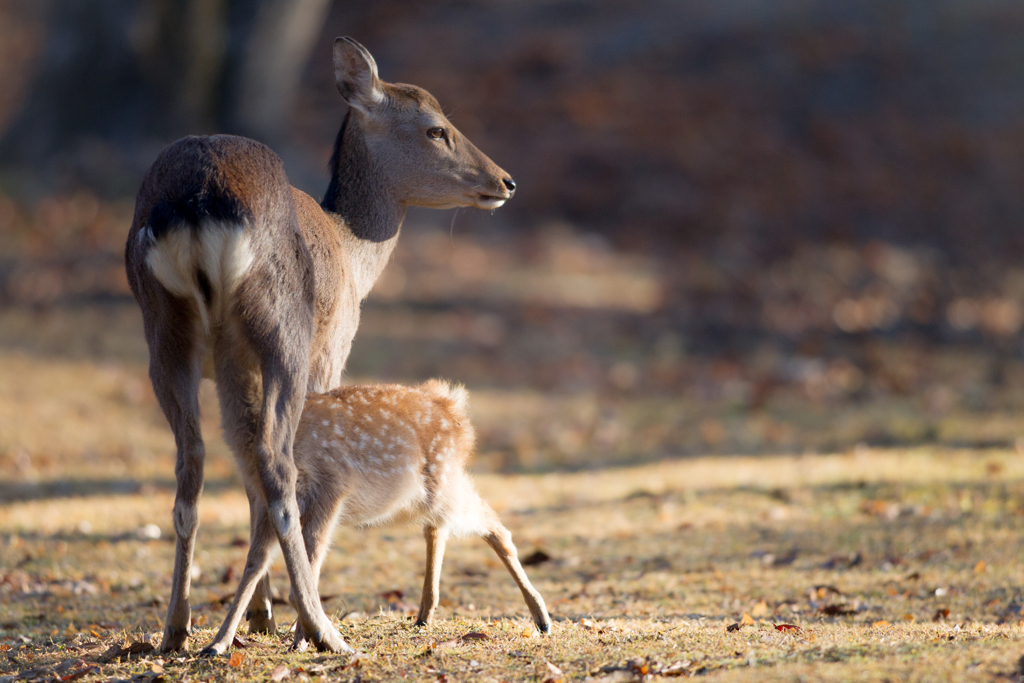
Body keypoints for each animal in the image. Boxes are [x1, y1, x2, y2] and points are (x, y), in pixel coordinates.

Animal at [123, 34, 516, 655]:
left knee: (193, 470)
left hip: (164, 332)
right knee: (279, 470)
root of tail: (199, 201)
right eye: (436, 128)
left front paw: (258, 617)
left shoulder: (233, 367)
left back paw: (176, 628)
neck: (355, 257)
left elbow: (244, 476)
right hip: (283, 331)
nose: (505, 181)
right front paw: (283, 619)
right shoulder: (332, 352)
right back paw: (322, 627)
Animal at [200, 382, 552, 655]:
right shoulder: (266, 503)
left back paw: (542, 618)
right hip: (422, 495)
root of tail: (453, 409)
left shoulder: (332, 486)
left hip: (443, 483)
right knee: (438, 528)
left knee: (493, 526)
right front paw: (217, 645)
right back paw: (423, 614)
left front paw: (306, 639)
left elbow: (308, 561)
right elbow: (255, 563)